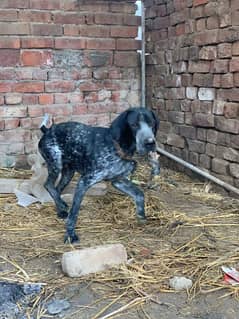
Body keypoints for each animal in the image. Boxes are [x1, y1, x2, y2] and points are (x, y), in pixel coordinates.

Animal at [38, 107, 159, 242]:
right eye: (134, 125)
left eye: (152, 124)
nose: (150, 143)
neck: (118, 146)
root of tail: (48, 130)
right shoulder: (84, 182)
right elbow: (74, 213)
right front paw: (70, 235)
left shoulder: (118, 181)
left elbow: (139, 194)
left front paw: (141, 216)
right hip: (55, 164)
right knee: (49, 185)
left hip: (68, 172)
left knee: (57, 189)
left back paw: (61, 210)